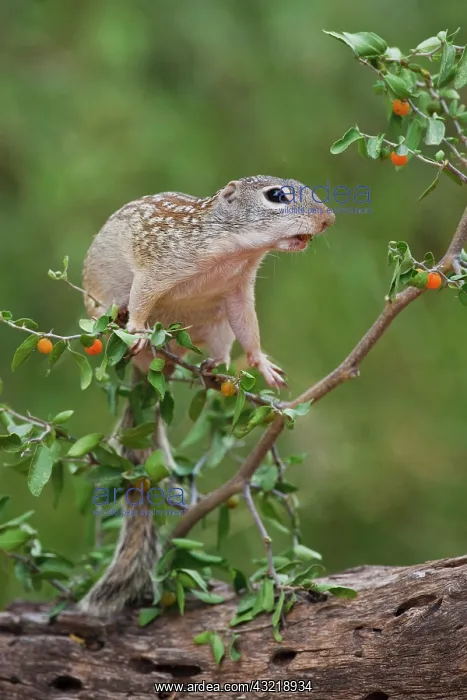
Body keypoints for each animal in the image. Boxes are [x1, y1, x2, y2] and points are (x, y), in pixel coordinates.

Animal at [78, 175, 335, 616]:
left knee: (216, 349)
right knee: (111, 313)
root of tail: (150, 371)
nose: (328, 219)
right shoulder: (157, 264)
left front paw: (261, 363)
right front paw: (140, 327)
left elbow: (249, 329)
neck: (233, 254)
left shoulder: (237, 291)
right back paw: (120, 325)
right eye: (277, 196)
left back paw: (214, 369)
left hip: (214, 328)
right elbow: (143, 298)